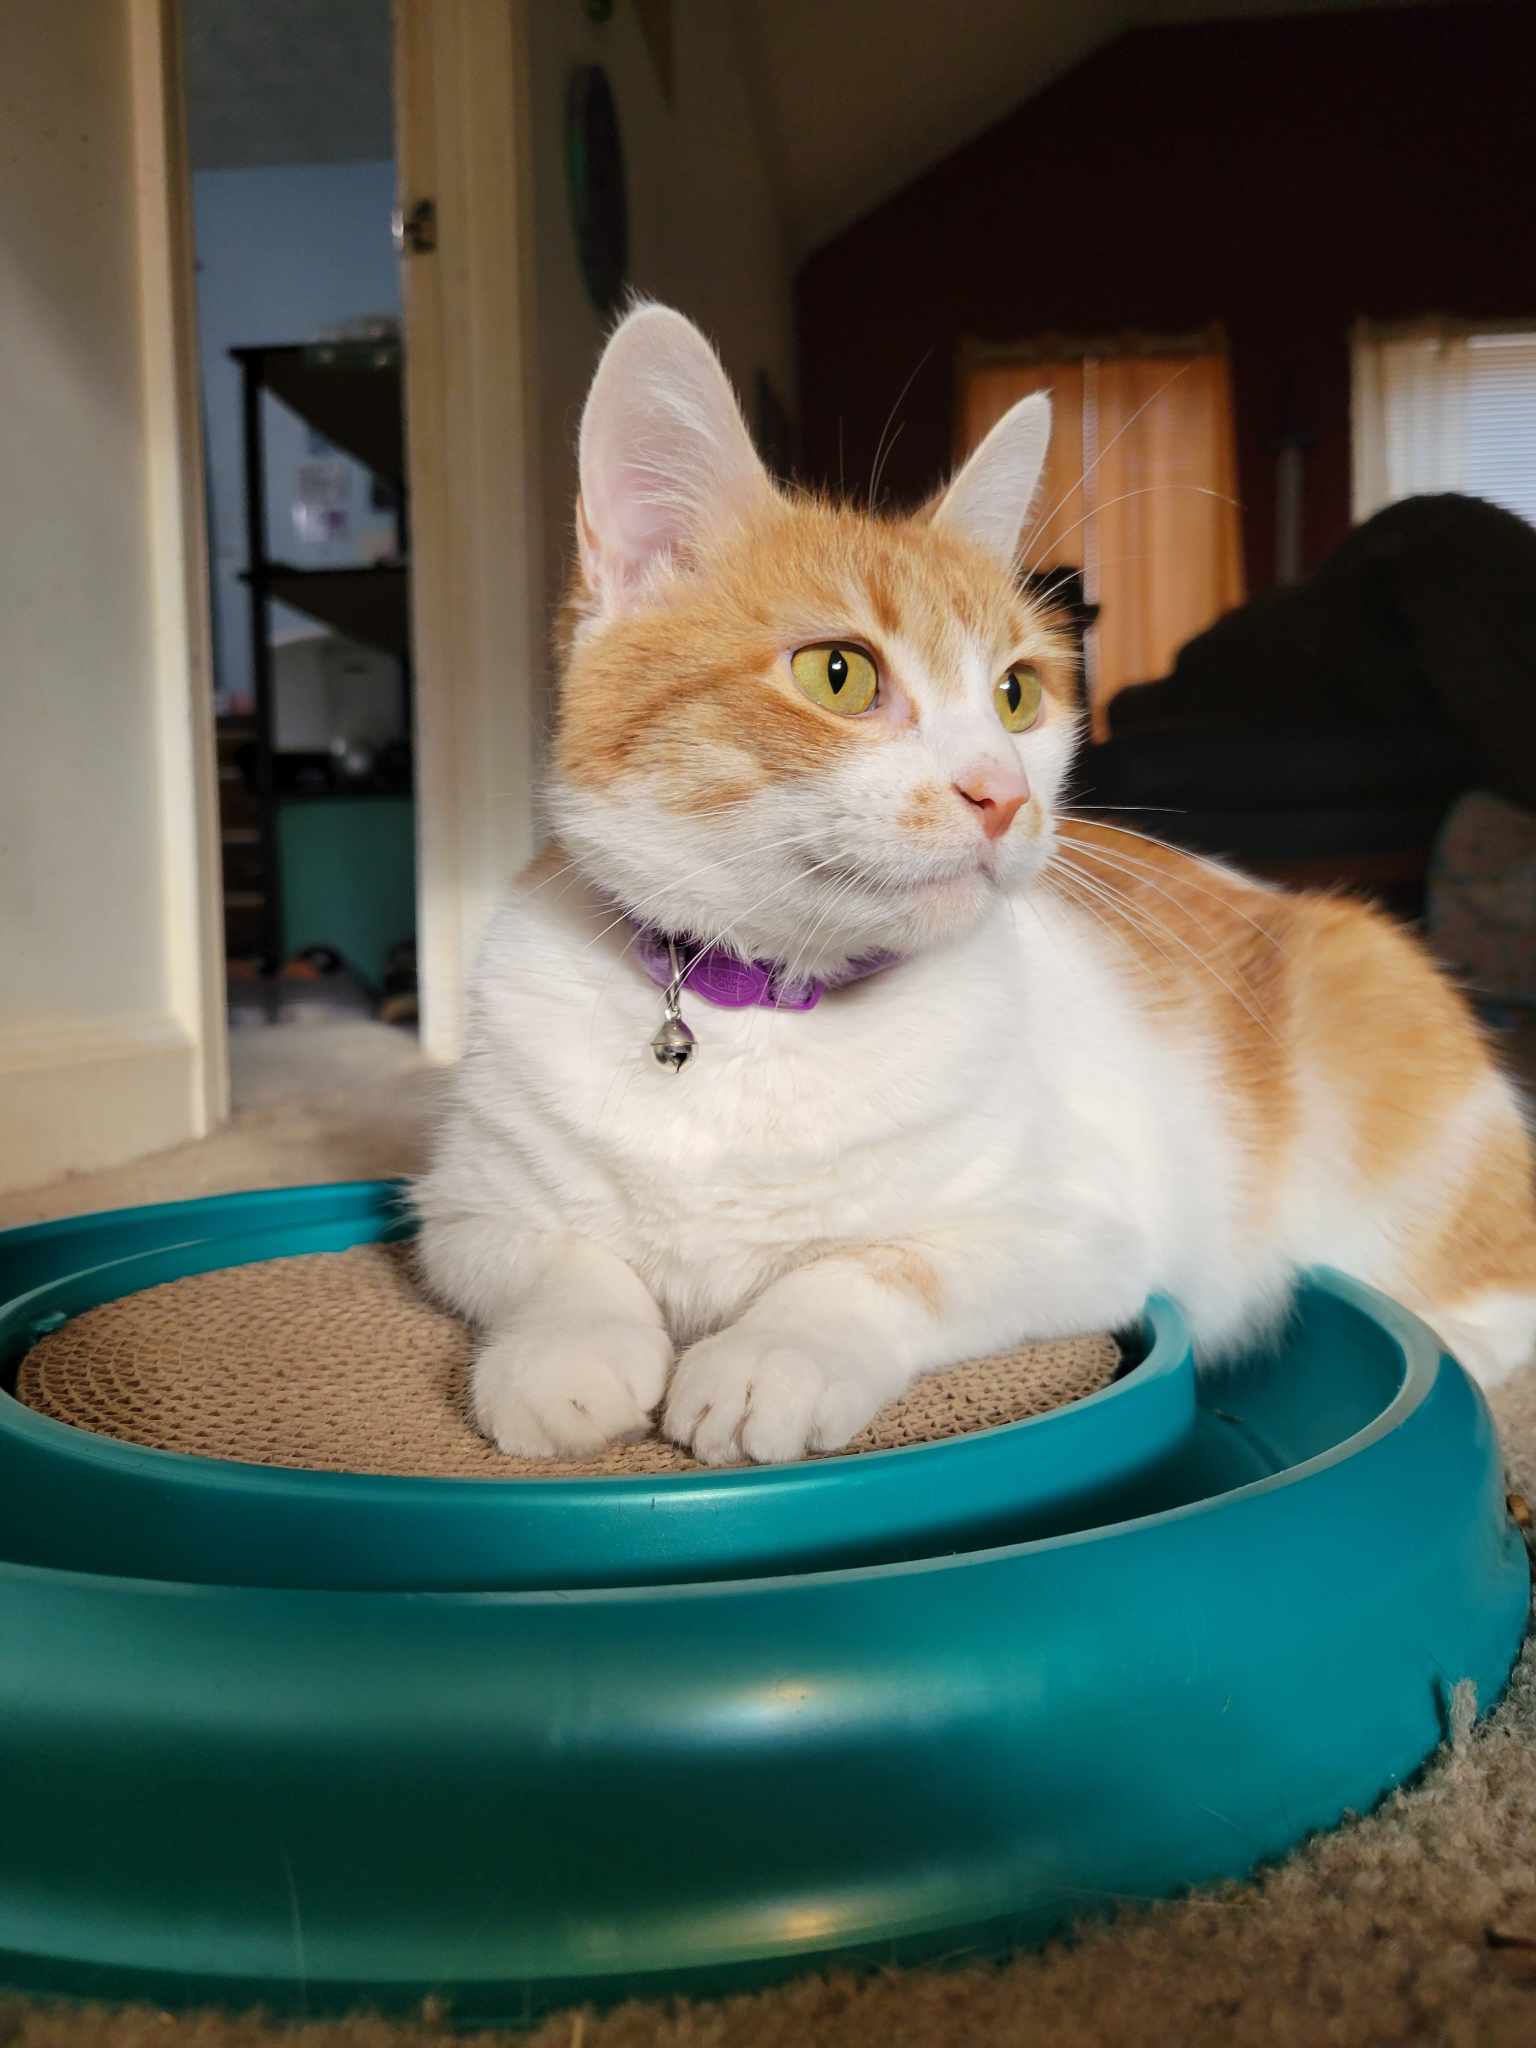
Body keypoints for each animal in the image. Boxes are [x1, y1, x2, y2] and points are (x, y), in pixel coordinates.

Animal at [415, 299, 1536, 1458]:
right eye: (838, 674)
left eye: (1015, 694)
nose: (1003, 792)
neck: (761, 1015)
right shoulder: (459, 1208)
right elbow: (553, 1254)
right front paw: (566, 1351)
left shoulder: (1081, 1235)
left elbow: (876, 1264)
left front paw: (773, 1353)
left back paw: (1463, 1350)